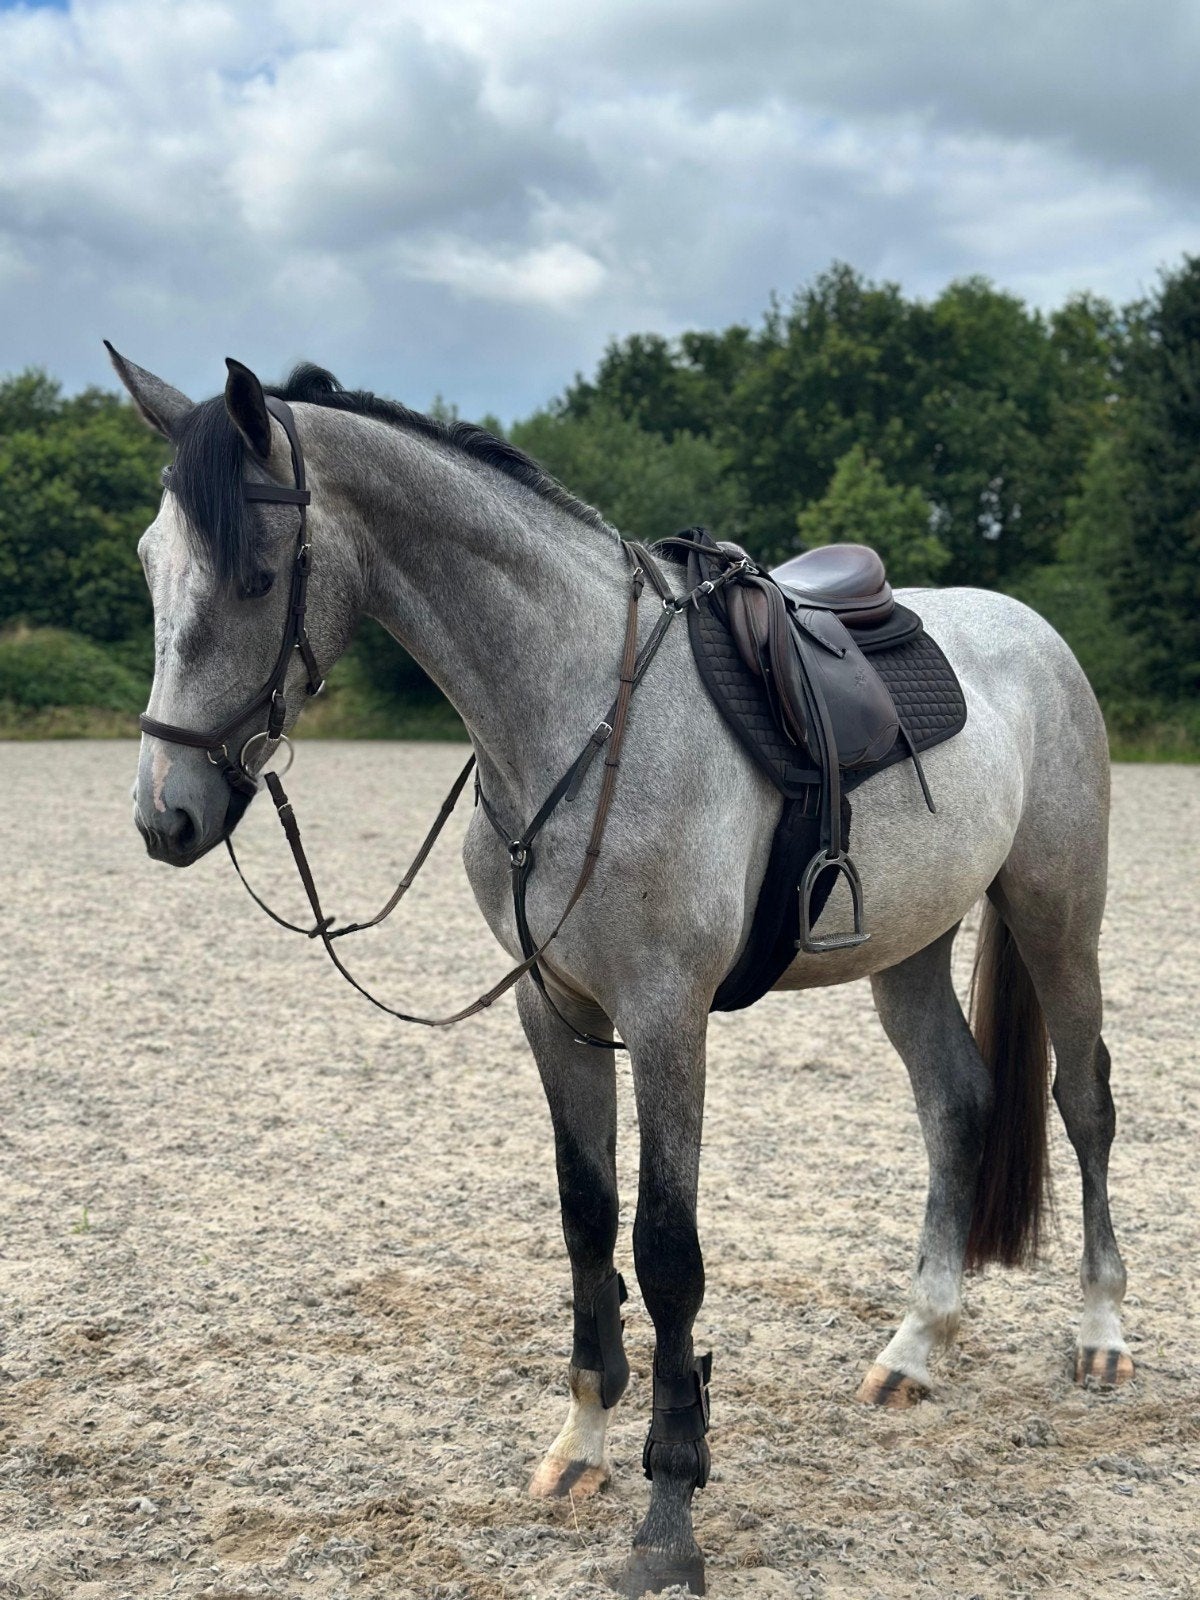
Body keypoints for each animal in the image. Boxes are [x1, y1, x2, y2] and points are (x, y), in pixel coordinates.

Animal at [109, 345, 1132, 1598]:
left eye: (257, 576)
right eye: (151, 563)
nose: (166, 816)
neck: (582, 714)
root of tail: (1028, 629)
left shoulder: (665, 1014)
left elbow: (666, 1250)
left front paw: (669, 1511)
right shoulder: (554, 1007)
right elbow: (587, 1218)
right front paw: (584, 1440)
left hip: (1056, 910)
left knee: (1082, 1101)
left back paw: (1100, 1333)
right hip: (907, 948)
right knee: (956, 1102)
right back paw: (916, 1345)